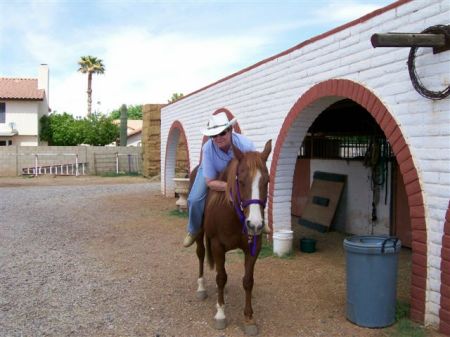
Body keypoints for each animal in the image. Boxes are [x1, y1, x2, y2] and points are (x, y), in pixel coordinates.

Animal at [190, 138, 270, 334]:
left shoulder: (253, 247)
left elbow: (248, 281)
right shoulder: (217, 245)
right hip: (201, 235)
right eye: (240, 181)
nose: (255, 224)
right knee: (201, 254)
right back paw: (201, 287)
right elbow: (221, 278)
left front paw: (249, 318)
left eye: (267, 181)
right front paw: (220, 314)